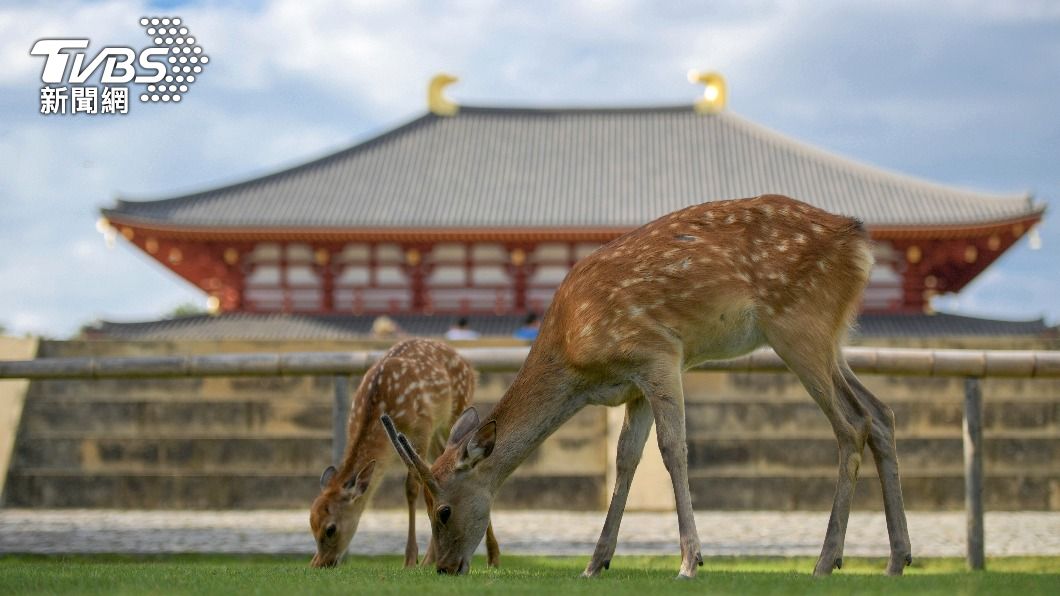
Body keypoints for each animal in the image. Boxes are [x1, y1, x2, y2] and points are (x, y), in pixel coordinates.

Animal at [309, 338, 500, 569]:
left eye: (331, 529)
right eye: (311, 524)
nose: (320, 563)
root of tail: (468, 365)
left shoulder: (422, 426)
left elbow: (412, 487)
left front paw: (410, 558)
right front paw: (420, 557)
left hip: (455, 410)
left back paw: (492, 556)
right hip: (439, 435)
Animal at [381, 194, 912, 578]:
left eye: (443, 510)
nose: (443, 568)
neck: (577, 361)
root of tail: (860, 242)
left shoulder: (659, 353)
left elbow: (673, 449)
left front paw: (691, 561)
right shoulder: (631, 384)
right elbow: (625, 460)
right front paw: (595, 563)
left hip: (798, 326)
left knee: (850, 425)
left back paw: (826, 561)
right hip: (831, 338)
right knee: (880, 413)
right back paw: (896, 560)